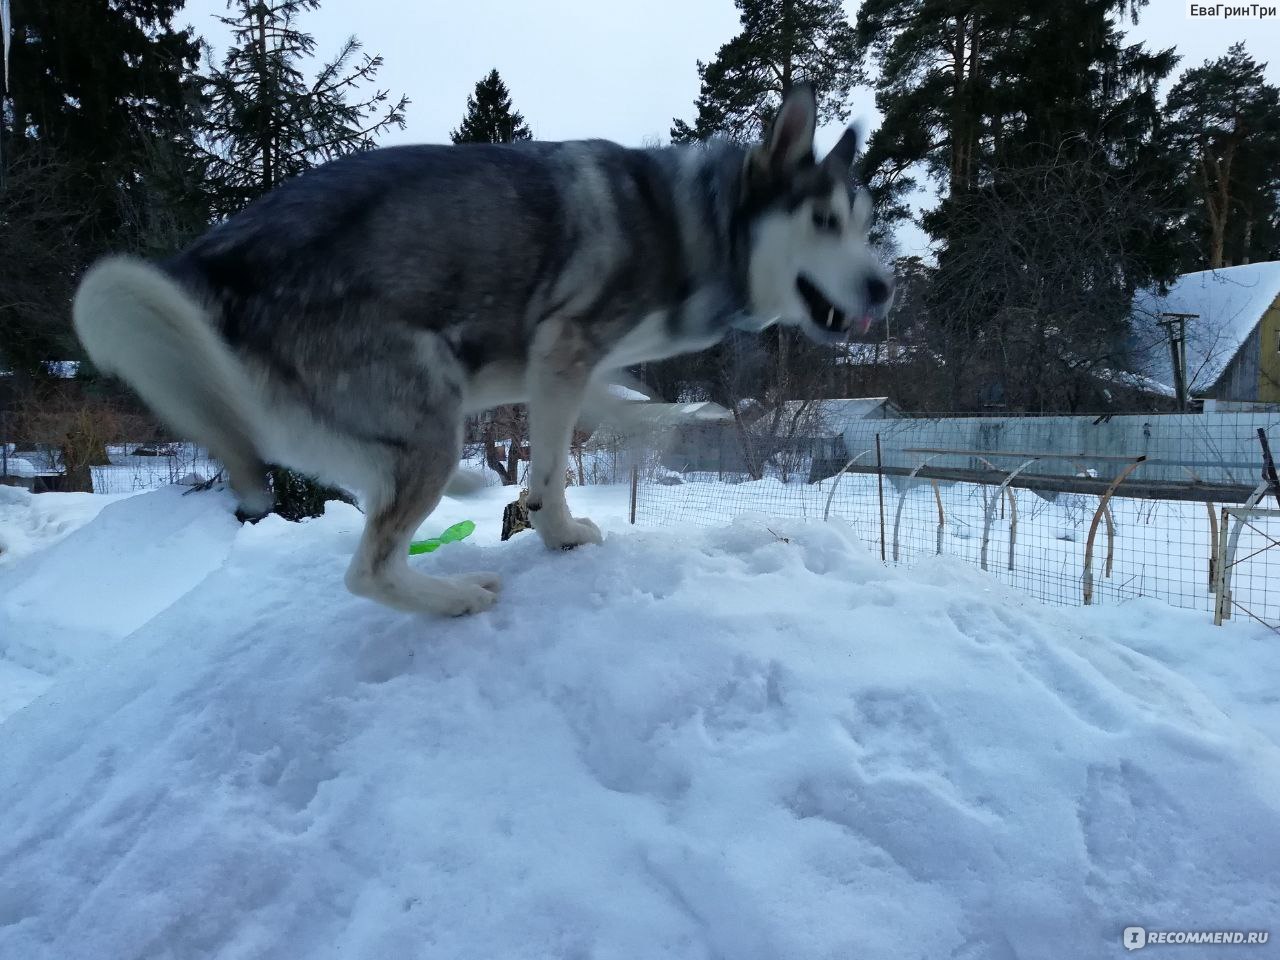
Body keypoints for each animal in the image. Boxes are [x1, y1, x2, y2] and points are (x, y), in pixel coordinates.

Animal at [70, 86, 890, 619]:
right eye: (823, 220)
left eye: (868, 223)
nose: (884, 289)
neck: (698, 223)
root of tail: (213, 257)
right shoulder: (563, 349)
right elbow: (554, 469)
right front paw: (560, 533)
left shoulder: (564, 369)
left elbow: (617, 409)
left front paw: (668, 425)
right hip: (428, 409)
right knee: (368, 568)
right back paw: (453, 596)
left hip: (358, 418)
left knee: (352, 484)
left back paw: (461, 497)